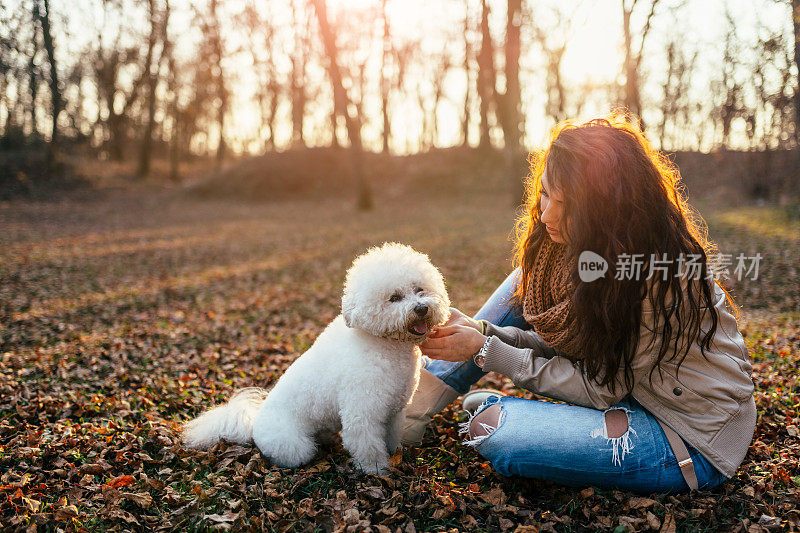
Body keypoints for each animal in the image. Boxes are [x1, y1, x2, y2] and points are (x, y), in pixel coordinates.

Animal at [180, 243, 450, 472]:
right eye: (394, 298)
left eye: (419, 290)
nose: (421, 308)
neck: (384, 343)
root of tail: (254, 423)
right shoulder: (362, 413)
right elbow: (369, 448)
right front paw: (378, 471)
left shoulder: (394, 411)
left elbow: (392, 438)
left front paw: (395, 456)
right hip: (294, 445)